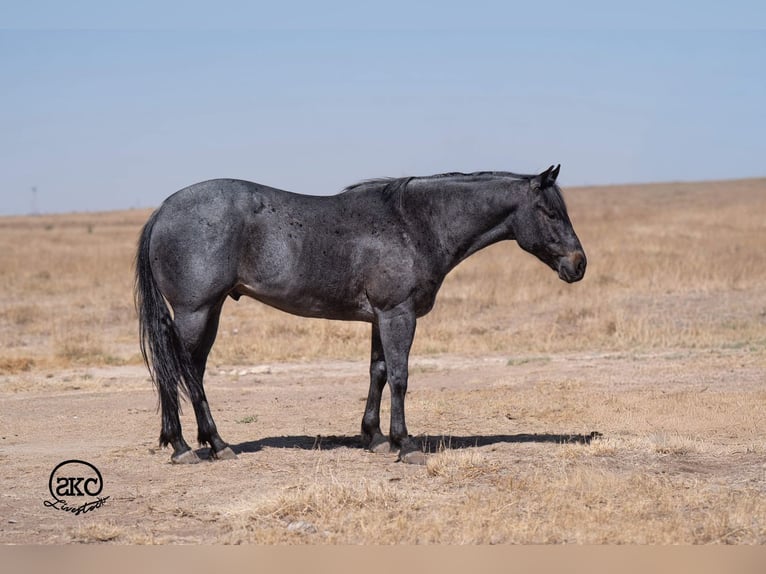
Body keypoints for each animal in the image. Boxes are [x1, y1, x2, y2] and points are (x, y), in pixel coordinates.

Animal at [134, 164, 586, 464]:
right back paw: (184, 447)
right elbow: (401, 377)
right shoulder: (398, 315)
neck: (415, 223)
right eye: (550, 212)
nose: (579, 264)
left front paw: (375, 437)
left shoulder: (380, 319)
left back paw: (214, 444)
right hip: (195, 312)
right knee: (178, 370)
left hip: (210, 312)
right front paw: (407, 446)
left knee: (192, 371)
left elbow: (379, 372)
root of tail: (163, 210)